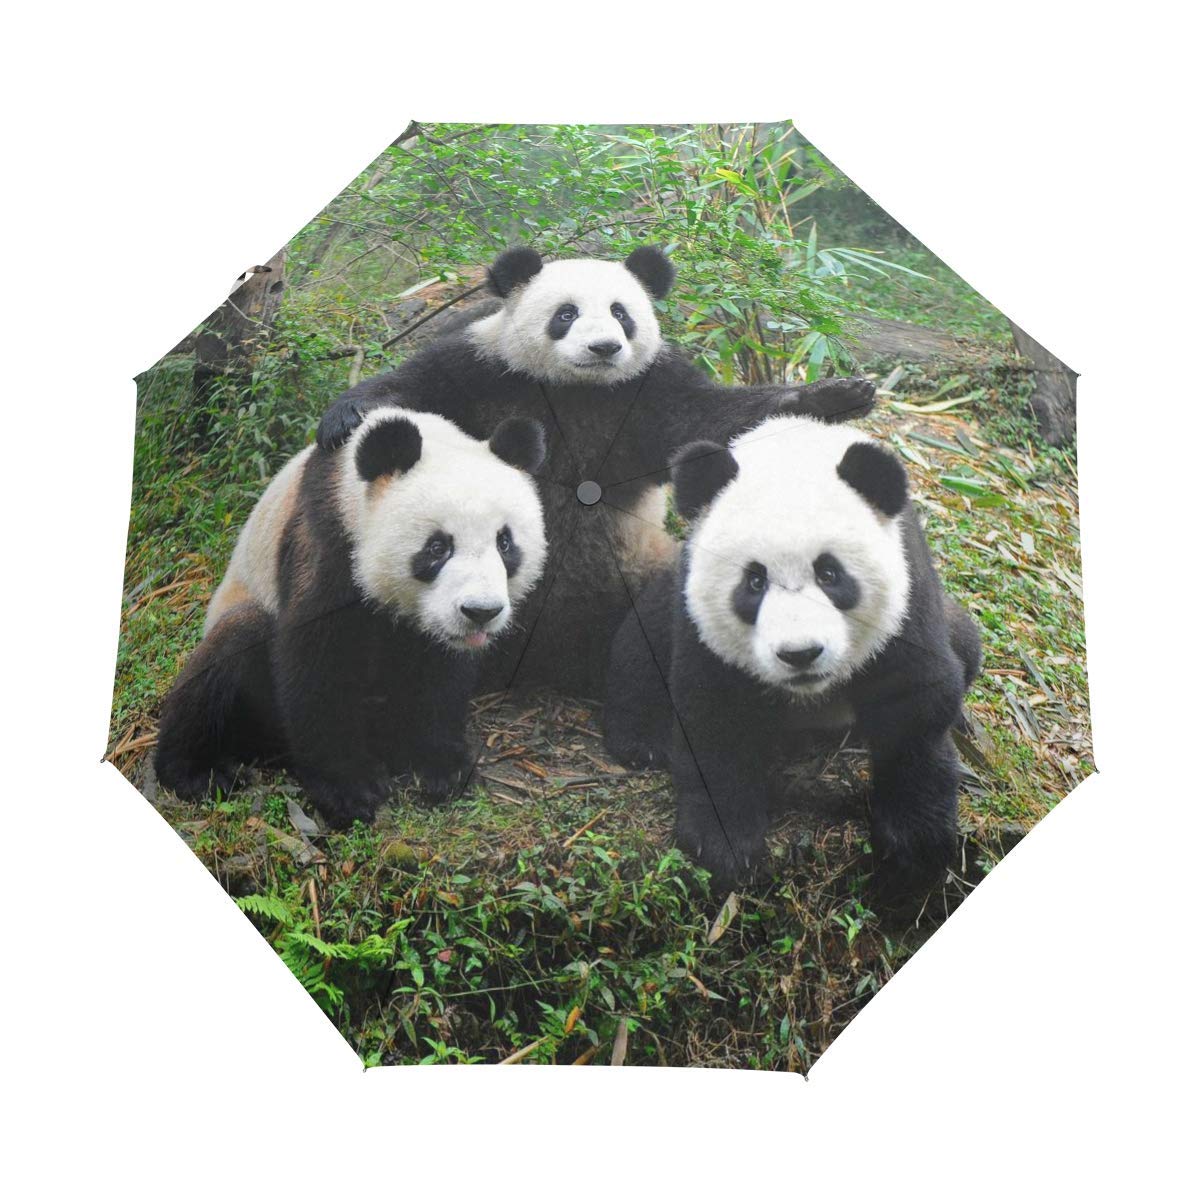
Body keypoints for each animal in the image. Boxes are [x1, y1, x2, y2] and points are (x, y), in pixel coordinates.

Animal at [154, 409, 548, 828]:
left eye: (504, 542)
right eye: (438, 547)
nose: (481, 612)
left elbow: (441, 673)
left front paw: (443, 766)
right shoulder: (327, 542)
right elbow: (317, 666)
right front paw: (350, 790)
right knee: (228, 653)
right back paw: (198, 772)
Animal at [315, 246, 877, 695]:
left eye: (620, 313)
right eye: (566, 313)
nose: (605, 347)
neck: (576, 389)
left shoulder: (648, 391)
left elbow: (714, 420)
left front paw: (836, 396)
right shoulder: (482, 371)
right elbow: (412, 390)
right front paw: (345, 418)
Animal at [603, 414, 982, 898]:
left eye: (829, 574)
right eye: (754, 581)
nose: (801, 654)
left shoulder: (907, 598)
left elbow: (918, 702)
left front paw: (914, 846)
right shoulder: (700, 622)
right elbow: (714, 714)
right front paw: (724, 844)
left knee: (966, 644)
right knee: (643, 641)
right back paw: (641, 740)